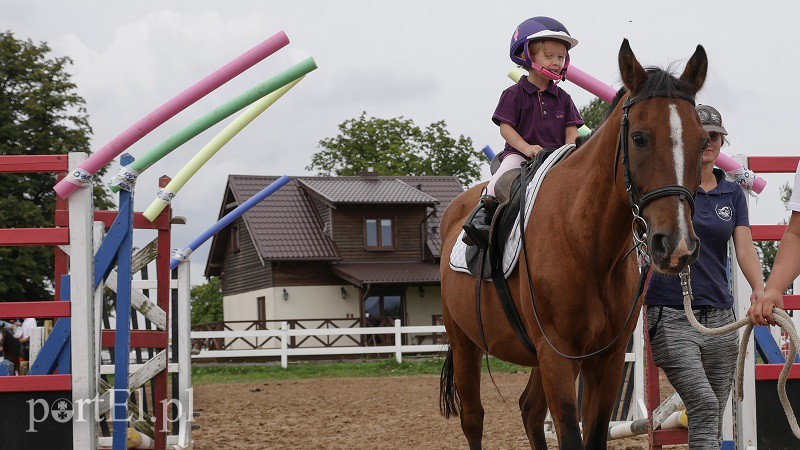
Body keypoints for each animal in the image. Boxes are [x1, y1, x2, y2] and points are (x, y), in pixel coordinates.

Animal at [439, 39, 709, 449]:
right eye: (639, 138)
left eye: (702, 141)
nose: (676, 245)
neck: (587, 243)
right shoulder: (558, 357)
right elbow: (569, 434)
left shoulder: (605, 360)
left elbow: (592, 435)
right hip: (464, 342)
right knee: (474, 419)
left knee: (530, 410)